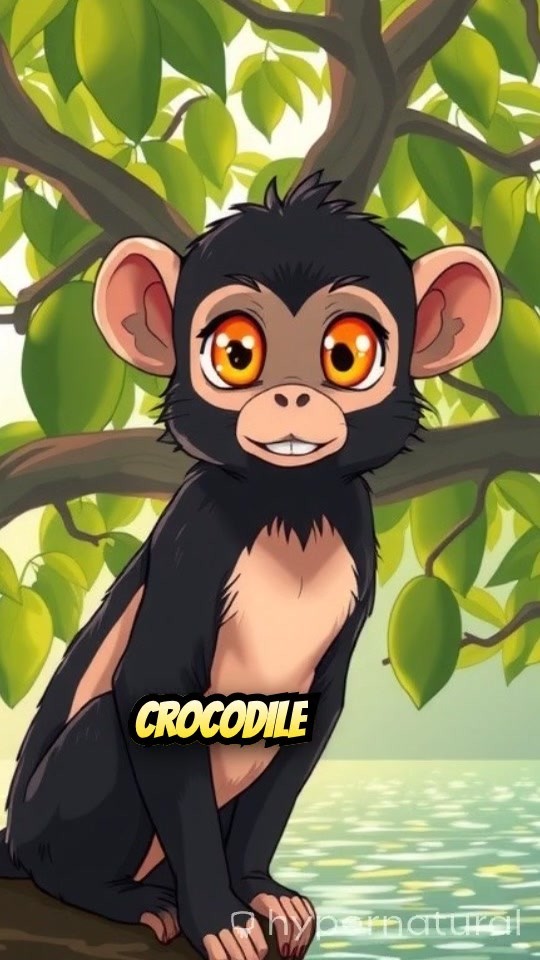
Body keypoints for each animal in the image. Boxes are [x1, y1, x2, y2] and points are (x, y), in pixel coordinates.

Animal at [0, 173, 501, 960]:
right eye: (237, 353)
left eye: (347, 353)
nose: (291, 394)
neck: (287, 507)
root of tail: (13, 842)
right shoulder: (195, 536)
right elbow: (151, 696)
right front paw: (217, 915)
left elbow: (313, 717)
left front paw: (259, 889)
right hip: (53, 824)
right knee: (106, 730)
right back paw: (109, 895)